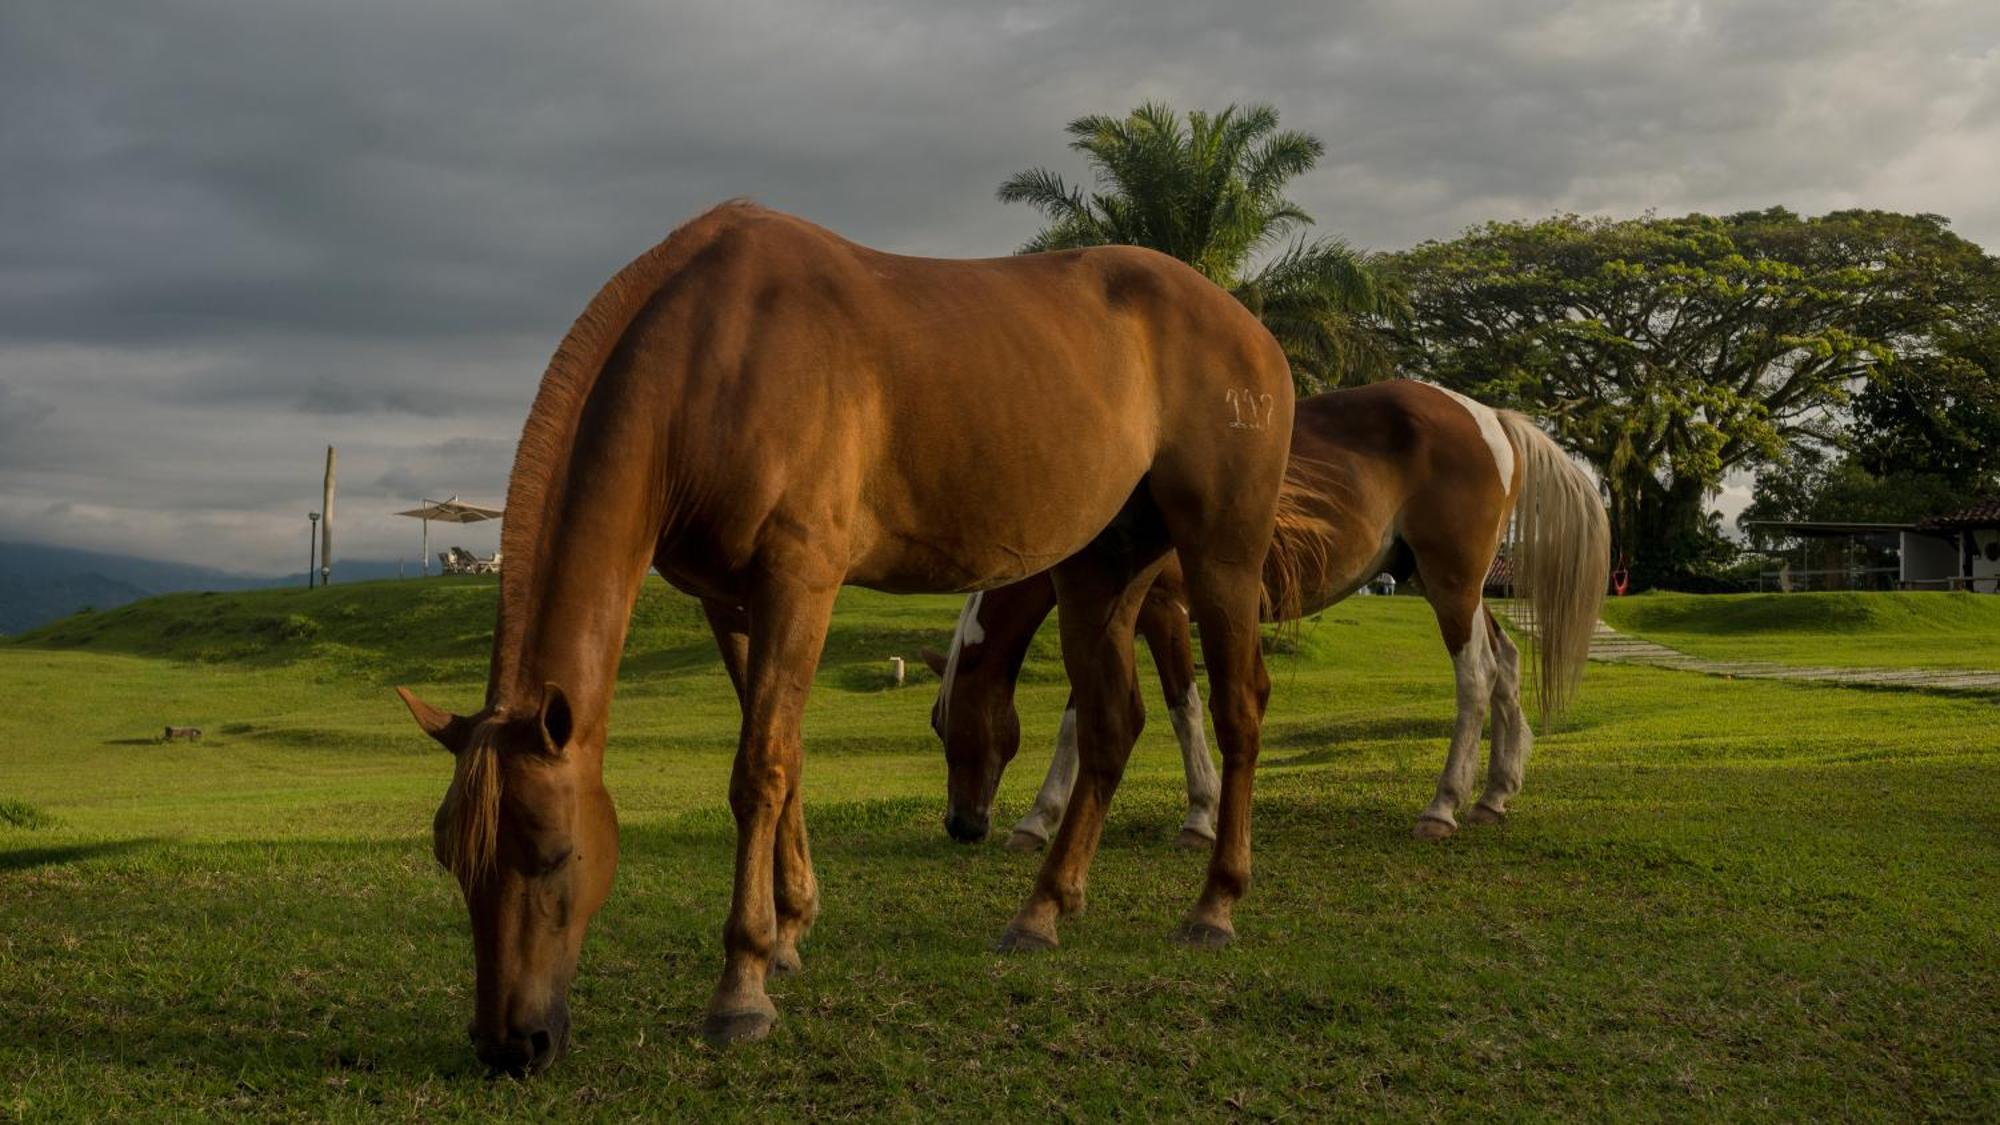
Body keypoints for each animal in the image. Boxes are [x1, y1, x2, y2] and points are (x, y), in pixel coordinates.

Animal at [392, 201, 1296, 1064]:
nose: (511, 1044)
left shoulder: (801, 584)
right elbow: (786, 760)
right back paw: (1042, 908)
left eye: (552, 852)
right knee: (1111, 725)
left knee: (1238, 710)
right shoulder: (732, 605)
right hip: (1101, 572)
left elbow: (759, 770)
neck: (714, 356)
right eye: (451, 857)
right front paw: (791, 929)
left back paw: (1214, 903)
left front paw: (742, 985)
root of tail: (1247, 324)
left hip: (1220, 556)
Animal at [924, 378, 1608, 848]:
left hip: (1452, 584)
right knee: (1507, 664)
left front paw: (1199, 815)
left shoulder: (1163, 612)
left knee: (1477, 678)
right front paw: (1038, 821)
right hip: (1445, 584)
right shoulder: (1113, 619)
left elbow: (1183, 708)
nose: (961, 825)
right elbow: (1082, 717)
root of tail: (1488, 416)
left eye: (950, 726)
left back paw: (1442, 807)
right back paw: (1494, 794)